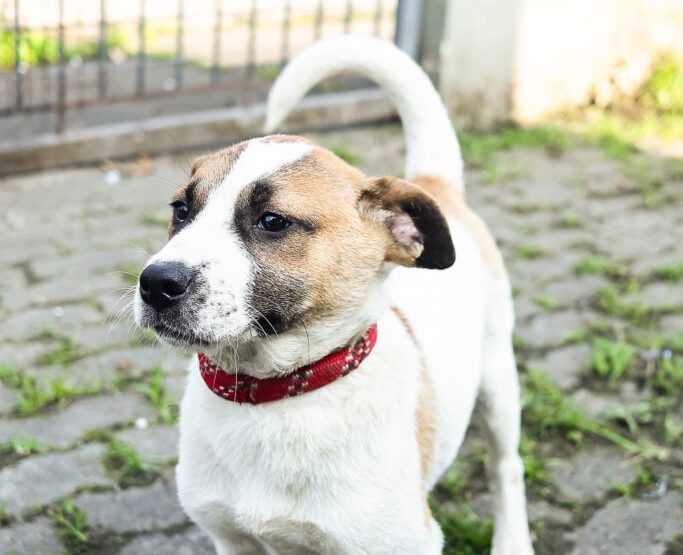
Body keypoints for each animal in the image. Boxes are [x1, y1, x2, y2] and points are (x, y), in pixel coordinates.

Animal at [134, 36, 534, 555]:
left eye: (273, 221)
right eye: (181, 210)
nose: (155, 283)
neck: (277, 395)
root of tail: (435, 185)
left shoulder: (406, 542)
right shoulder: (231, 539)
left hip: (498, 377)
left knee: (506, 465)